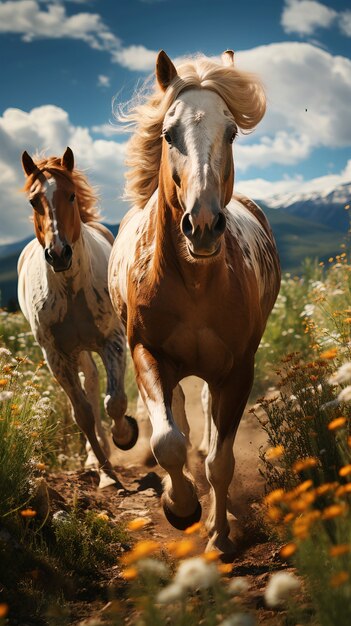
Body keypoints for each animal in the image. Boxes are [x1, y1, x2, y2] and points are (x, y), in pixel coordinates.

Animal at [18, 147, 138, 488]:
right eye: (33, 201)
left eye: (70, 195)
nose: (59, 254)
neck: (71, 289)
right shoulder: (56, 355)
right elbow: (82, 413)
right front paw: (106, 472)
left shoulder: (112, 341)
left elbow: (115, 400)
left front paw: (125, 436)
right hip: (77, 352)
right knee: (91, 384)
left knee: (100, 386)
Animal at [108, 52, 282, 552]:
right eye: (169, 133)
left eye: (232, 132)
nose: (202, 226)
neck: (196, 284)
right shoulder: (146, 353)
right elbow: (167, 441)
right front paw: (179, 506)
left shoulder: (239, 369)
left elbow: (220, 462)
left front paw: (218, 535)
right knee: (180, 418)